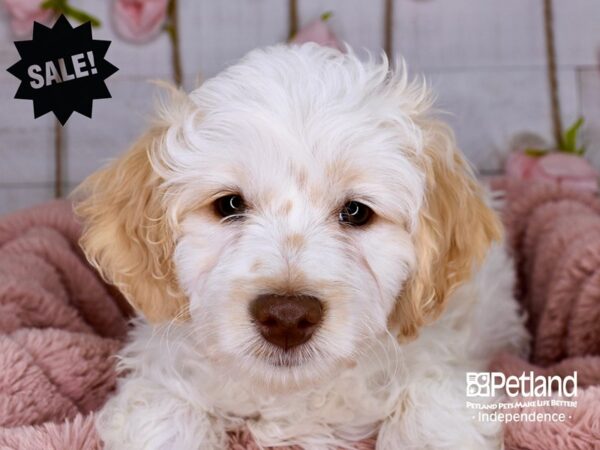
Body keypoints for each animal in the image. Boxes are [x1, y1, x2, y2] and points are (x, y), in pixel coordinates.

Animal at [76, 43, 528, 450]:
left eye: (356, 212)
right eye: (229, 205)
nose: (287, 316)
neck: (292, 394)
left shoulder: (445, 374)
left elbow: (429, 417)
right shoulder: (160, 375)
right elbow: (165, 416)